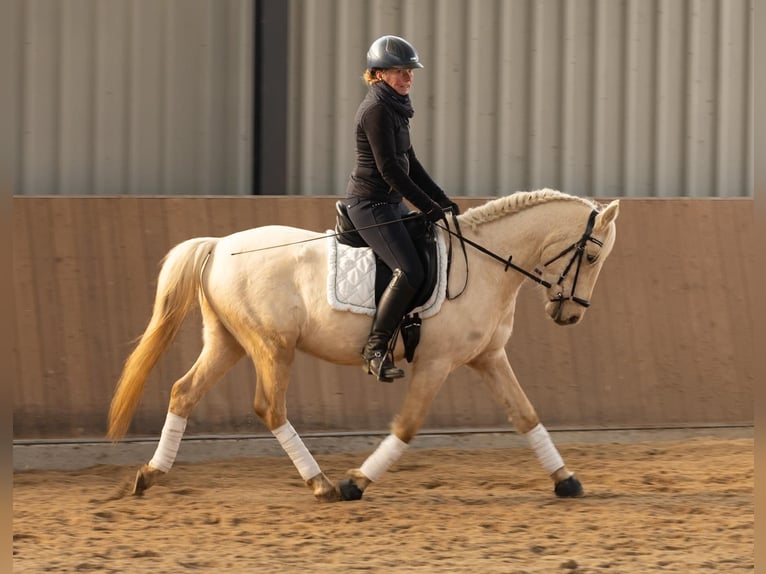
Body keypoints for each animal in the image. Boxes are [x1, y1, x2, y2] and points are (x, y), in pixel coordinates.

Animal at [108, 190, 620, 504]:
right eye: (593, 256)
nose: (570, 315)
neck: (487, 265)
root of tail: (217, 246)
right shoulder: (436, 364)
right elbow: (408, 427)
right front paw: (356, 482)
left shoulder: (488, 359)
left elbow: (526, 415)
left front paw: (567, 480)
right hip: (272, 347)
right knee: (269, 407)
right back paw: (322, 484)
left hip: (228, 342)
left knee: (184, 392)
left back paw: (149, 474)